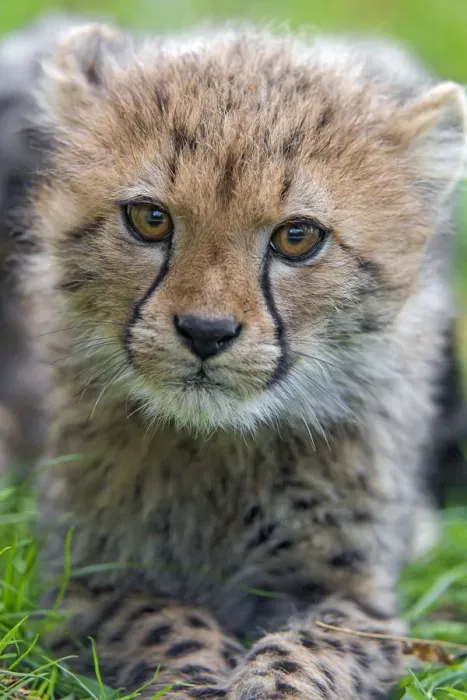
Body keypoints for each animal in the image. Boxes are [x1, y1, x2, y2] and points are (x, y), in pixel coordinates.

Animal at [2, 16, 467, 700]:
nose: (206, 332)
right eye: (149, 219)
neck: (220, 447)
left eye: (298, 237)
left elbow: (308, 650)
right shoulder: (81, 586)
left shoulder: (358, 597)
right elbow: (164, 623)